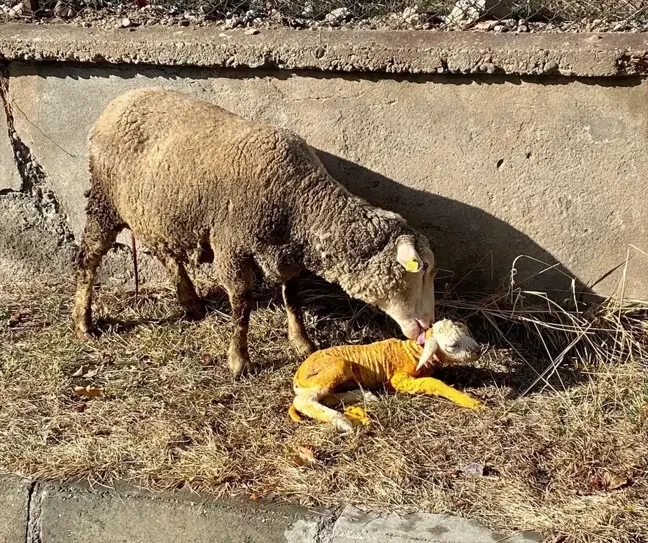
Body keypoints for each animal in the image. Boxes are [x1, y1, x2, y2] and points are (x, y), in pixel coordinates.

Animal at [73, 89, 438, 378]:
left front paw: (302, 343)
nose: (428, 326)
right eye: (420, 272)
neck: (300, 200)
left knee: (165, 253)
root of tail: (118, 101)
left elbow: (293, 298)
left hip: (157, 211)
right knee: (88, 257)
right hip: (105, 201)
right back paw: (83, 322)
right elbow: (242, 305)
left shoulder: (286, 254)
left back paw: (191, 303)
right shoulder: (231, 248)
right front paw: (240, 361)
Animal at [290, 318, 486, 434]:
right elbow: (431, 383)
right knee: (302, 401)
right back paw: (342, 420)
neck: (413, 352)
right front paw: (472, 402)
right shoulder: (398, 380)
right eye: (452, 345)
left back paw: (365, 395)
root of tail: (298, 375)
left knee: (325, 396)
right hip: (334, 367)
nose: (478, 351)